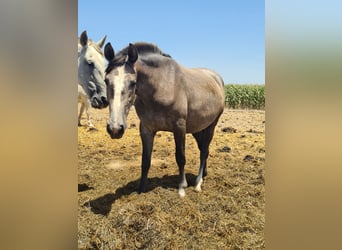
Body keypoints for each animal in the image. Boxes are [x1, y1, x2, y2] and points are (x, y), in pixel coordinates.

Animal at [105, 42, 226, 196]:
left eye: (133, 82)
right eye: (106, 80)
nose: (115, 129)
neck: (162, 86)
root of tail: (217, 79)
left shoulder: (179, 126)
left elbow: (180, 157)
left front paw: (182, 185)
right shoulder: (146, 129)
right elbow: (145, 160)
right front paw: (141, 189)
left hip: (211, 125)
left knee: (204, 150)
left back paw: (198, 182)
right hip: (198, 128)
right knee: (204, 149)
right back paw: (204, 173)